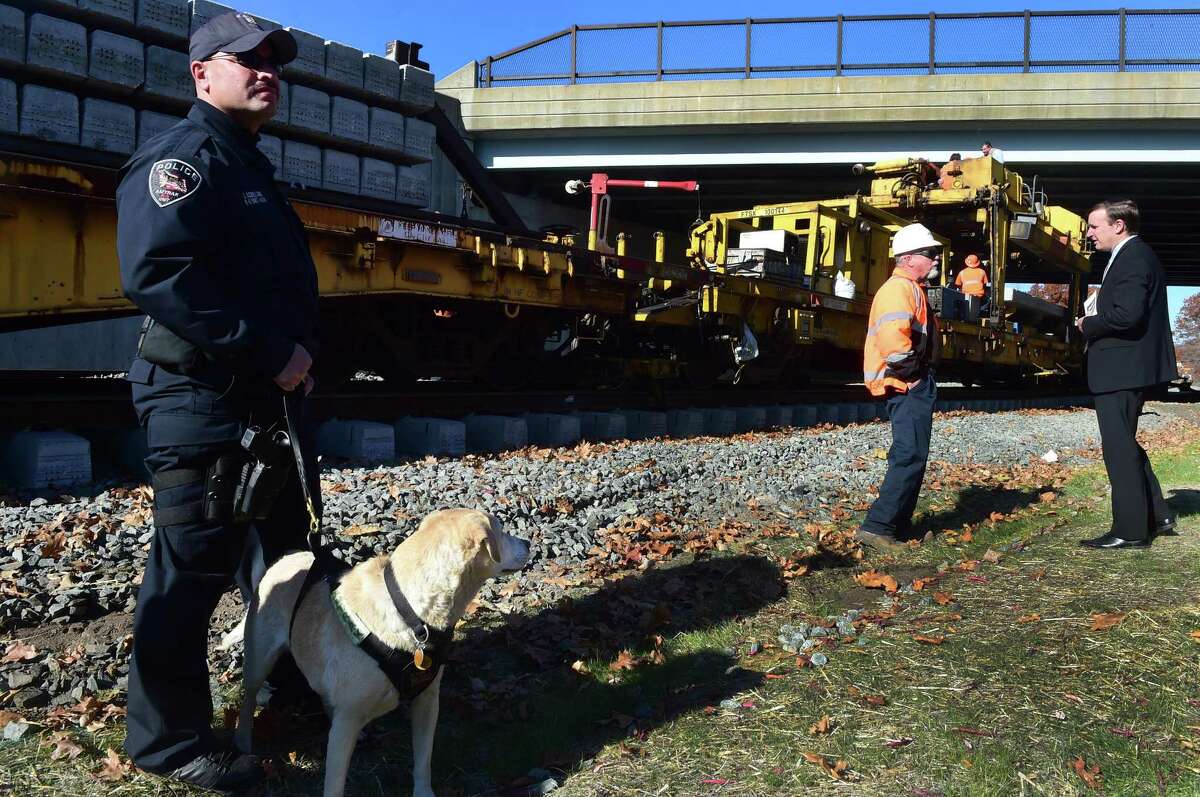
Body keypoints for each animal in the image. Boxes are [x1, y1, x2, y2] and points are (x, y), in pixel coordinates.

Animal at [226, 511, 528, 797]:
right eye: (501, 530)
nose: (528, 543)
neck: (410, 612)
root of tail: (278, 563)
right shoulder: (346, 723)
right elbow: (334, 786)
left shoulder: (427, 701)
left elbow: (423, 761)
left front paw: (423, 792)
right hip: (259, 659)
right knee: (249, 698)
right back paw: (242, 741)